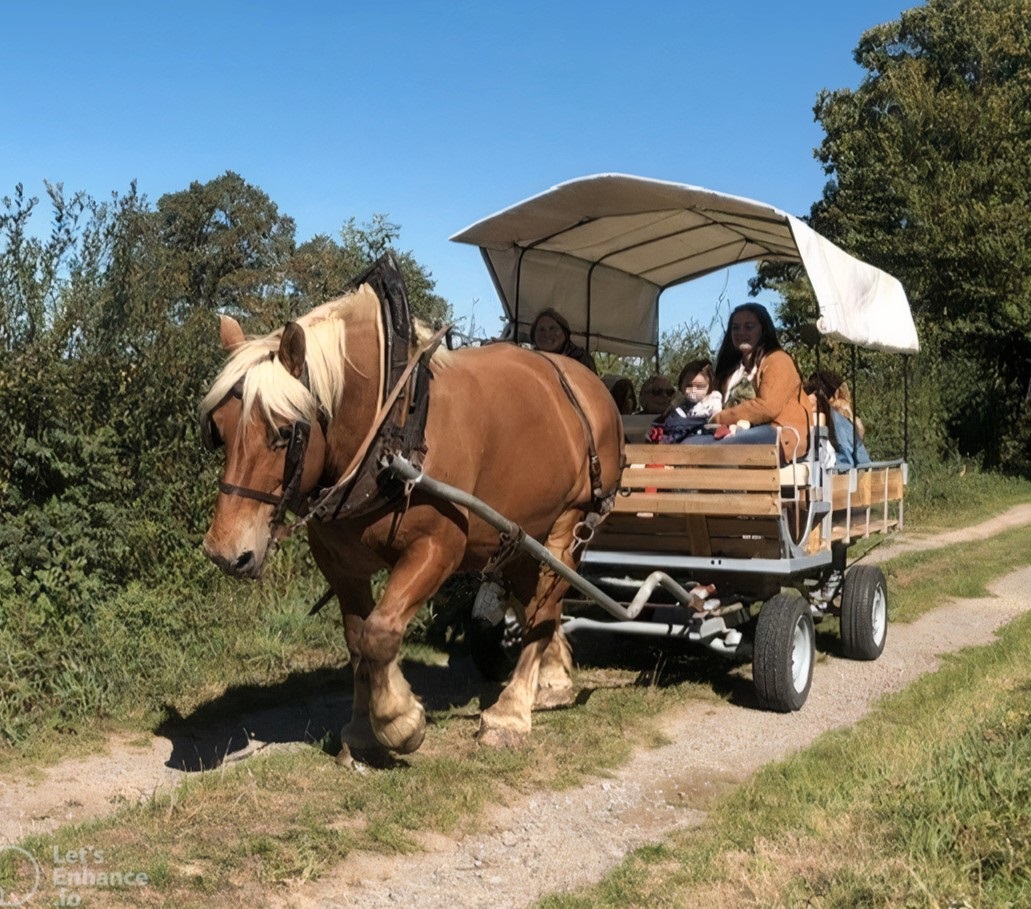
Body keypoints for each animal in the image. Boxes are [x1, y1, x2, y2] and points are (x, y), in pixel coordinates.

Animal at [197, 274, 622, 750]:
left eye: (285, 432)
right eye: (218, 430)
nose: (225, 551)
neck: (393, 427)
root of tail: (591, 386)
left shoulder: (436, 549)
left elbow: (380, 634)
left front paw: (399, 719)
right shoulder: (339, 563)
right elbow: (357, 638)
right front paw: (362, 730)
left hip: (569, 523)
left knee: (546, 607)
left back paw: (511, 712)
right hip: (521, 534)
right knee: (535, 603)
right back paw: (551, 677)